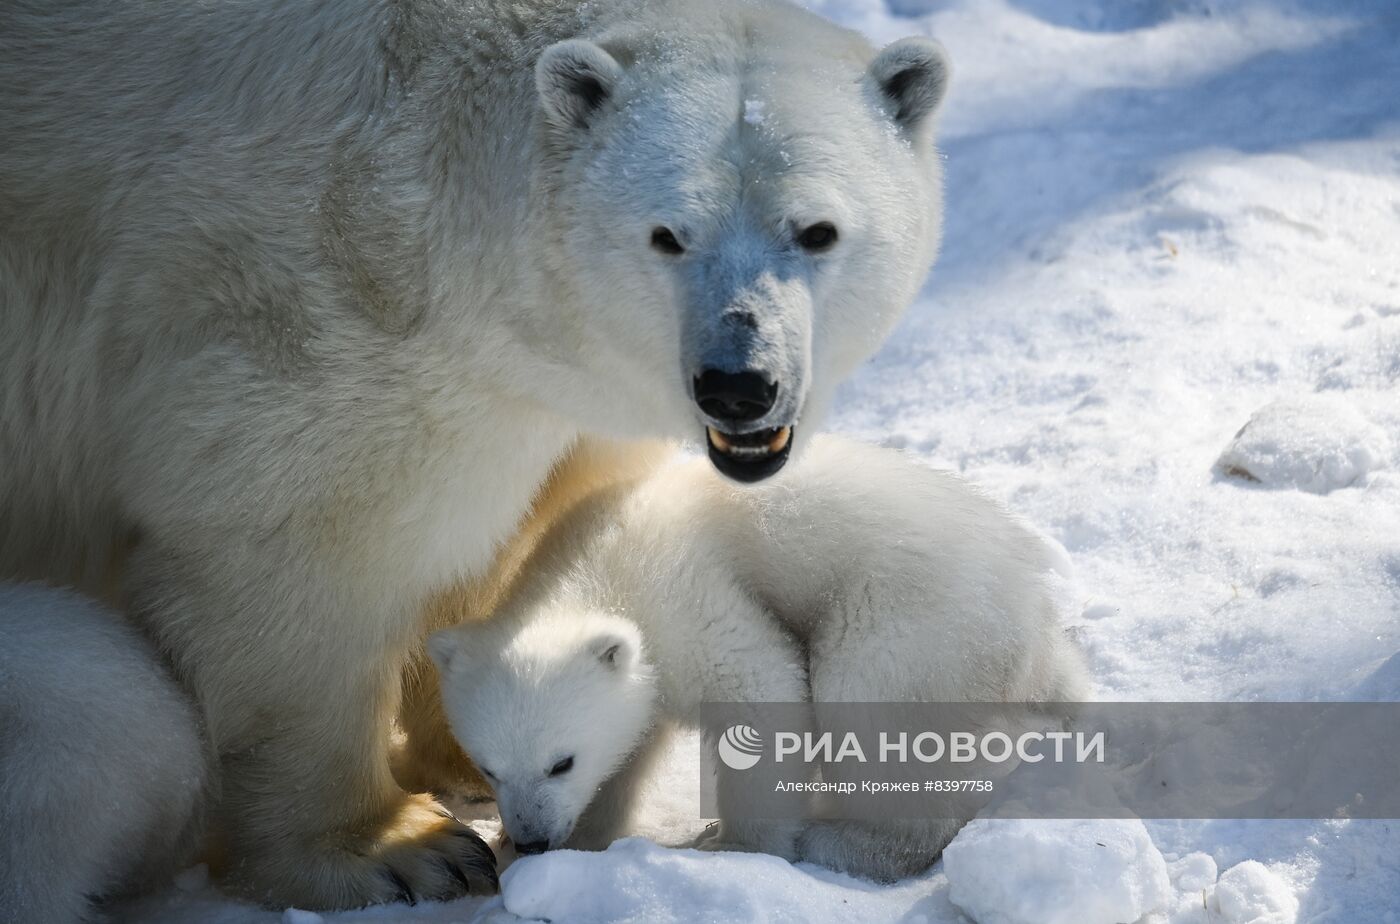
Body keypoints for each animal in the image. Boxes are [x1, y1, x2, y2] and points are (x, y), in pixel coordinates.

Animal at [0, 0, 952, 912]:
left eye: (818, 230)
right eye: (667, 234)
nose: (737, 385)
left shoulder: (548, 402)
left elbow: (505, 543)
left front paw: (466, 748)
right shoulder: (305, 318)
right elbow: (294, 559)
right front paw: (395, 850)